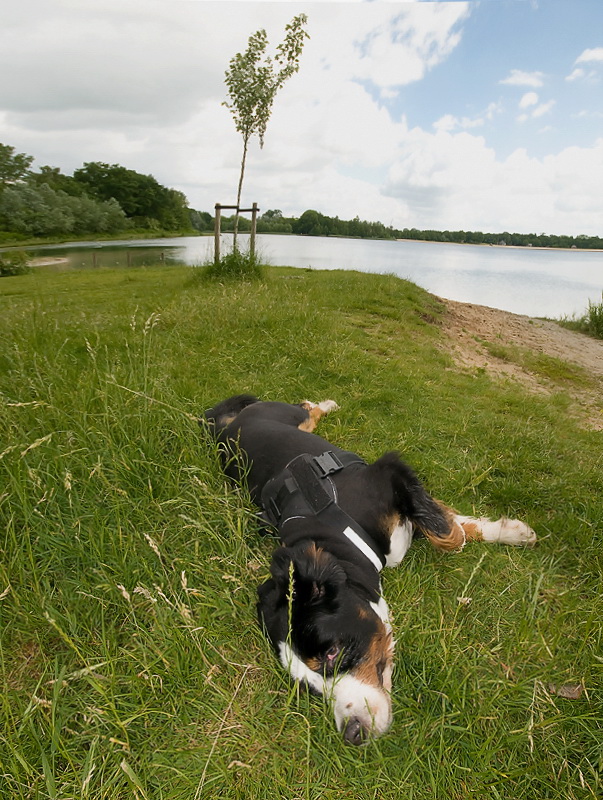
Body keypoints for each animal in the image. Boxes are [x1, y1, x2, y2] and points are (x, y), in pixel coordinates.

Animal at [204, 396, 536, 748]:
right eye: (309, 686)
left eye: (332, 652)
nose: (353, 733)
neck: (336, 533)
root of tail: (228, 424)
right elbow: (445, 524)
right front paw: (508, 531)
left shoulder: (390, 473)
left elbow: (446, 530)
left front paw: (503, 532)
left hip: (289, 417)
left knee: (307, 412)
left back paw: (323, 403)